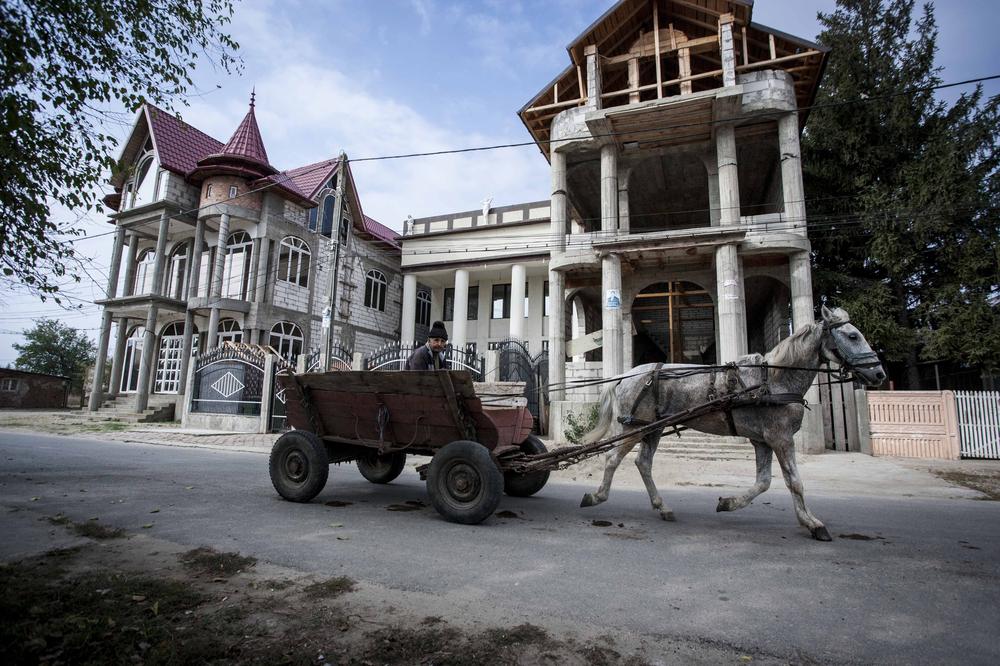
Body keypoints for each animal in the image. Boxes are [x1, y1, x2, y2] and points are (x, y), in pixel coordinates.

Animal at [577, 306, 885, 541]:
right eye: (852, 335)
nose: (879, 373)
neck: (774, 380)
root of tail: (625, 376)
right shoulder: (781, 438)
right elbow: (794, 482)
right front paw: (813, 523)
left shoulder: (762, 440)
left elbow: (763, 482)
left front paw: (728, 503)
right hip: (632, 428)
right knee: (612, 458)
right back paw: (596, 496)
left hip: (651, 428)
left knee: (643, 463)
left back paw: (662, 507)